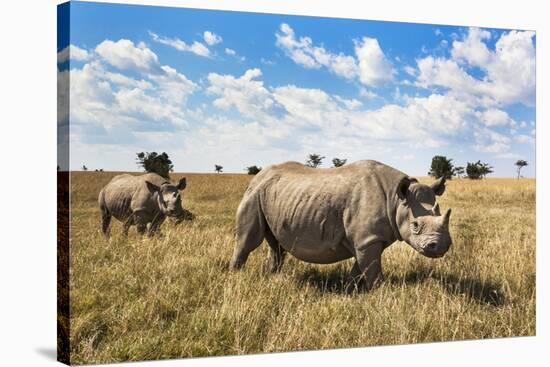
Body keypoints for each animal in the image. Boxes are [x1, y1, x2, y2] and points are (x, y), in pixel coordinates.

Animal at [232, 161, 452, 290]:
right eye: (415, 225)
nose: (441, 246)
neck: (396, 199)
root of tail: (258, 175)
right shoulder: (368, 240)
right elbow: (372, 271)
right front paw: (382, 294)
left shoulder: (368, 240)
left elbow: (360, 268)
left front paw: (348, 289)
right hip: (254, 194)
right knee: (248, 240)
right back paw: (236, 276)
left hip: (274, 196)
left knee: (276, 245)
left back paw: (273, 277)